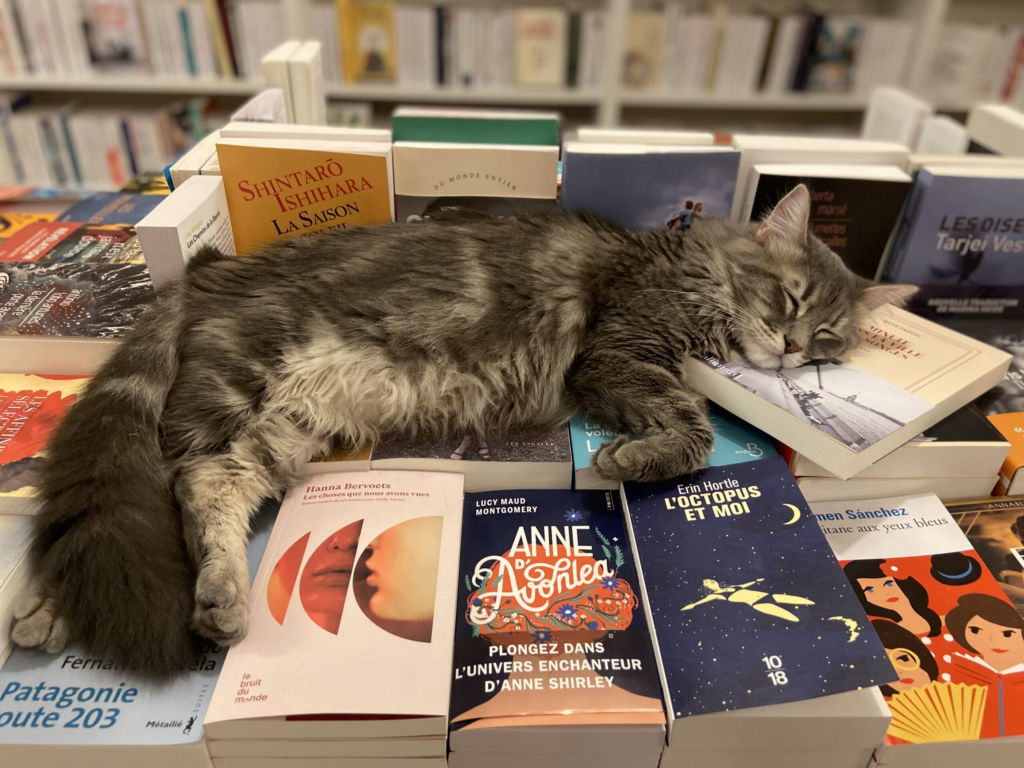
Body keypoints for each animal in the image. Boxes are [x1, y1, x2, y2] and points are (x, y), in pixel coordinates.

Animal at [10, 184, 914, 674]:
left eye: (828, 337)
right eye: (792, 299)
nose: (793, 349)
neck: (691, 271)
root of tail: (208, 271)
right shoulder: (618, 352)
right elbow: (689, 430)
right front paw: (628, 460)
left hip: (285, 421)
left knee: (190, 494)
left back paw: (174, 601)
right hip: (236, 388)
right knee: (163, 491)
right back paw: (112, 605)